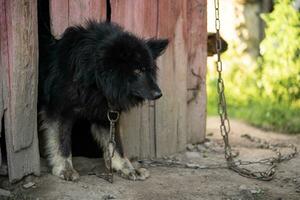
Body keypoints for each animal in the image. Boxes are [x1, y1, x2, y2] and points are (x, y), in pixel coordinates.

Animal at [38, 20, 169, 181]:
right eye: (137, 71)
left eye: (149, 70)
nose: (159, 94)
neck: (93, 79)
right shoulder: (59, 111)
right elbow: (62, 142)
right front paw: (65, 168)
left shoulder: (105, 116)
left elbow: (116, 145)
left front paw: (128, 168)